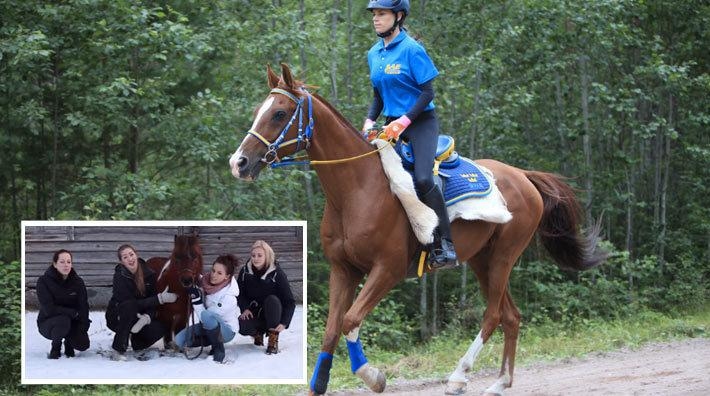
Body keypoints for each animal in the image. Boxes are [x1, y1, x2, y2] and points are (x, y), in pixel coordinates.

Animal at [231, 63, 608, 394]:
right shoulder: (344, 269)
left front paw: (373, 377)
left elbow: (351, 321)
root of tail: (522, 176)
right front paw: (317, 387)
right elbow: (332, 329)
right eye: (259, 110)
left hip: (504, 256)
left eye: (279, 114)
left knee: (492, 316)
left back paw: (459, 377)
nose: (239, 163)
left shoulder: (388, 269)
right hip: (482, 260)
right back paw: (499, 384)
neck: (357, 190)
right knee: (511, 317)